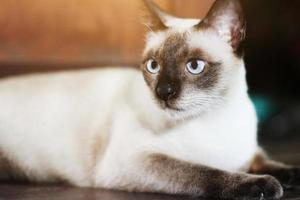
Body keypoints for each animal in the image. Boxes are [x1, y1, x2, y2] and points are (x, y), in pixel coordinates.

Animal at [0, 0, 300, 198]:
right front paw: (260, 185)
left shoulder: (248, 152)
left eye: (194, 66)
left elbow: (268, 160)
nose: (163, 92)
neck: (215, 117)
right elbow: (203, 171)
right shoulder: (137, 161)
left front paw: (291, 175)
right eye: (153, 66)